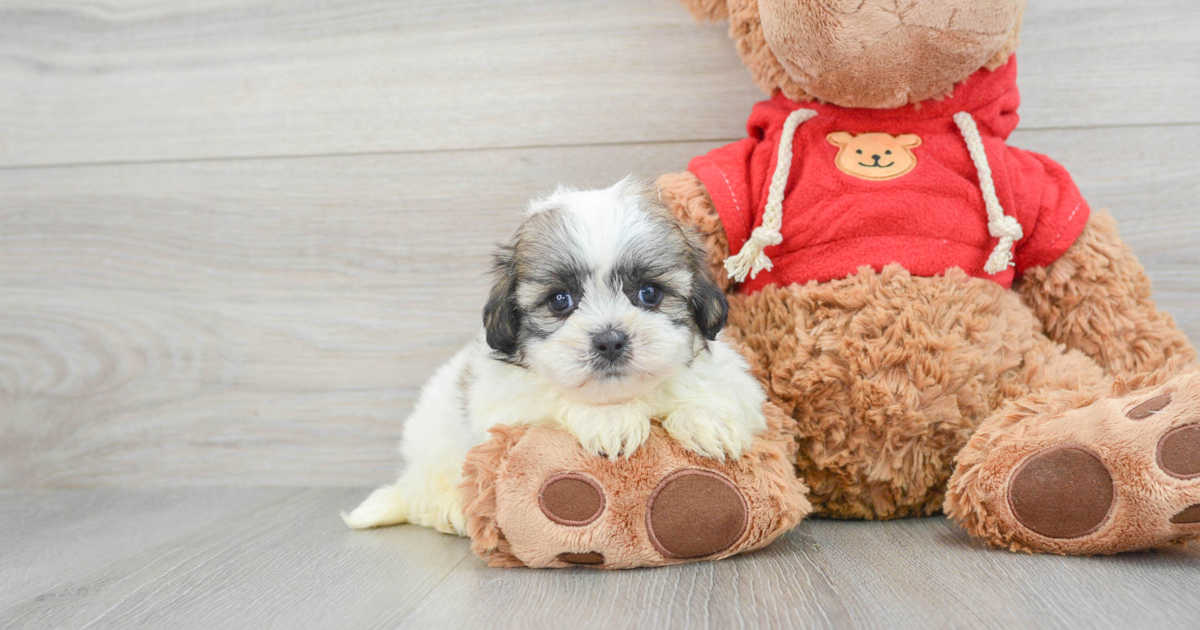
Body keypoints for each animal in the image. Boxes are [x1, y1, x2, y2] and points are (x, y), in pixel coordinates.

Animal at [343, 177, 763, 535]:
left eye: (649, 293)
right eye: (560, 300)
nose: (610, 340)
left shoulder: (738, 383)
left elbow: (716, 394)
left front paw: (708, 421)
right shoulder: (505, 410)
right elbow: (554, 400)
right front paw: (609, 419)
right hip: (432, 446)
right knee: (423, 492)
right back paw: (450, 509)